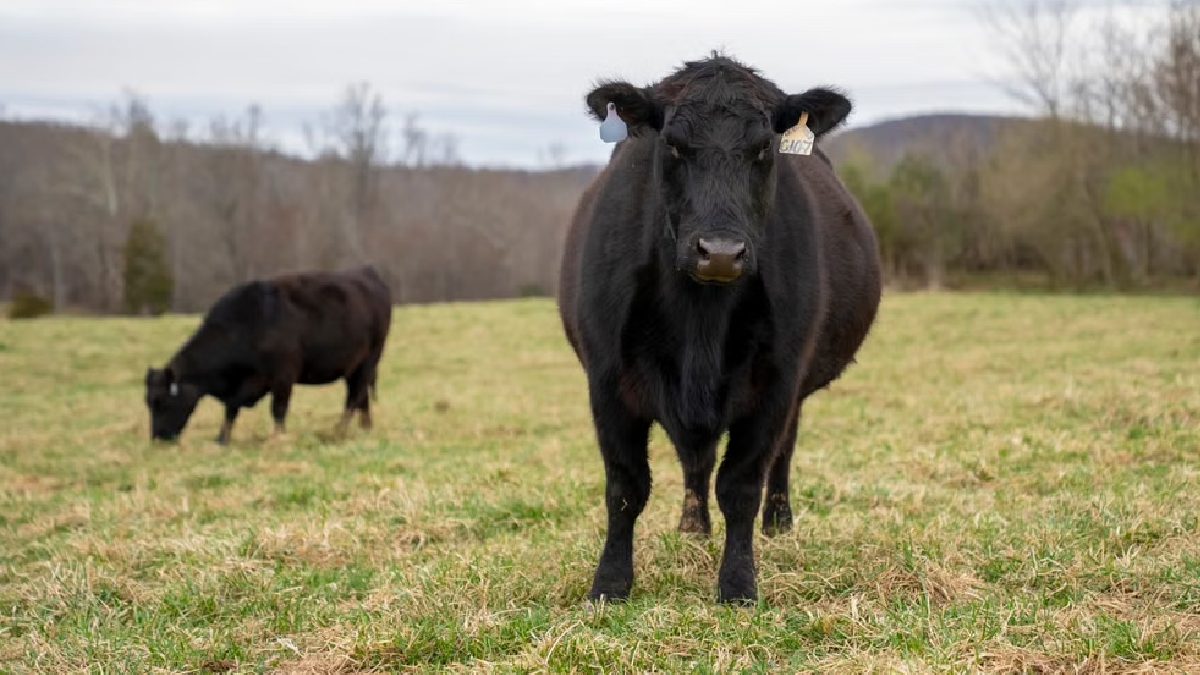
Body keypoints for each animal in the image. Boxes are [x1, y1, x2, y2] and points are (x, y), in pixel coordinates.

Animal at [144, 265, 393, 445]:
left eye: (162, 401)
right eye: (148, 401)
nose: (157, 439)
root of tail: (365, 271)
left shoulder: (283, 377)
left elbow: (278, 409)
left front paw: (277, 438)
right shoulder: (243, 386)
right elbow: (231, 410)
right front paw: (222, 439)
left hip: (370, 359)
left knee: (354, 396)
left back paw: (337, 431)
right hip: (354, 367)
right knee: (361, 397)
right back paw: (364, 428)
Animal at [557, 52, 882, 604]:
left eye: (763, 147)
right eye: (672, 144)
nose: (722, 251)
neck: (699, 322)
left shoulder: (776, 382)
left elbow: (741, 486)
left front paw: (737, 584)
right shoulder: (607, 380)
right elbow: (625, 488)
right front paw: (610, 584)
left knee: (779, 454)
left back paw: (778, 522)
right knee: (698, 461)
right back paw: (693, 525)